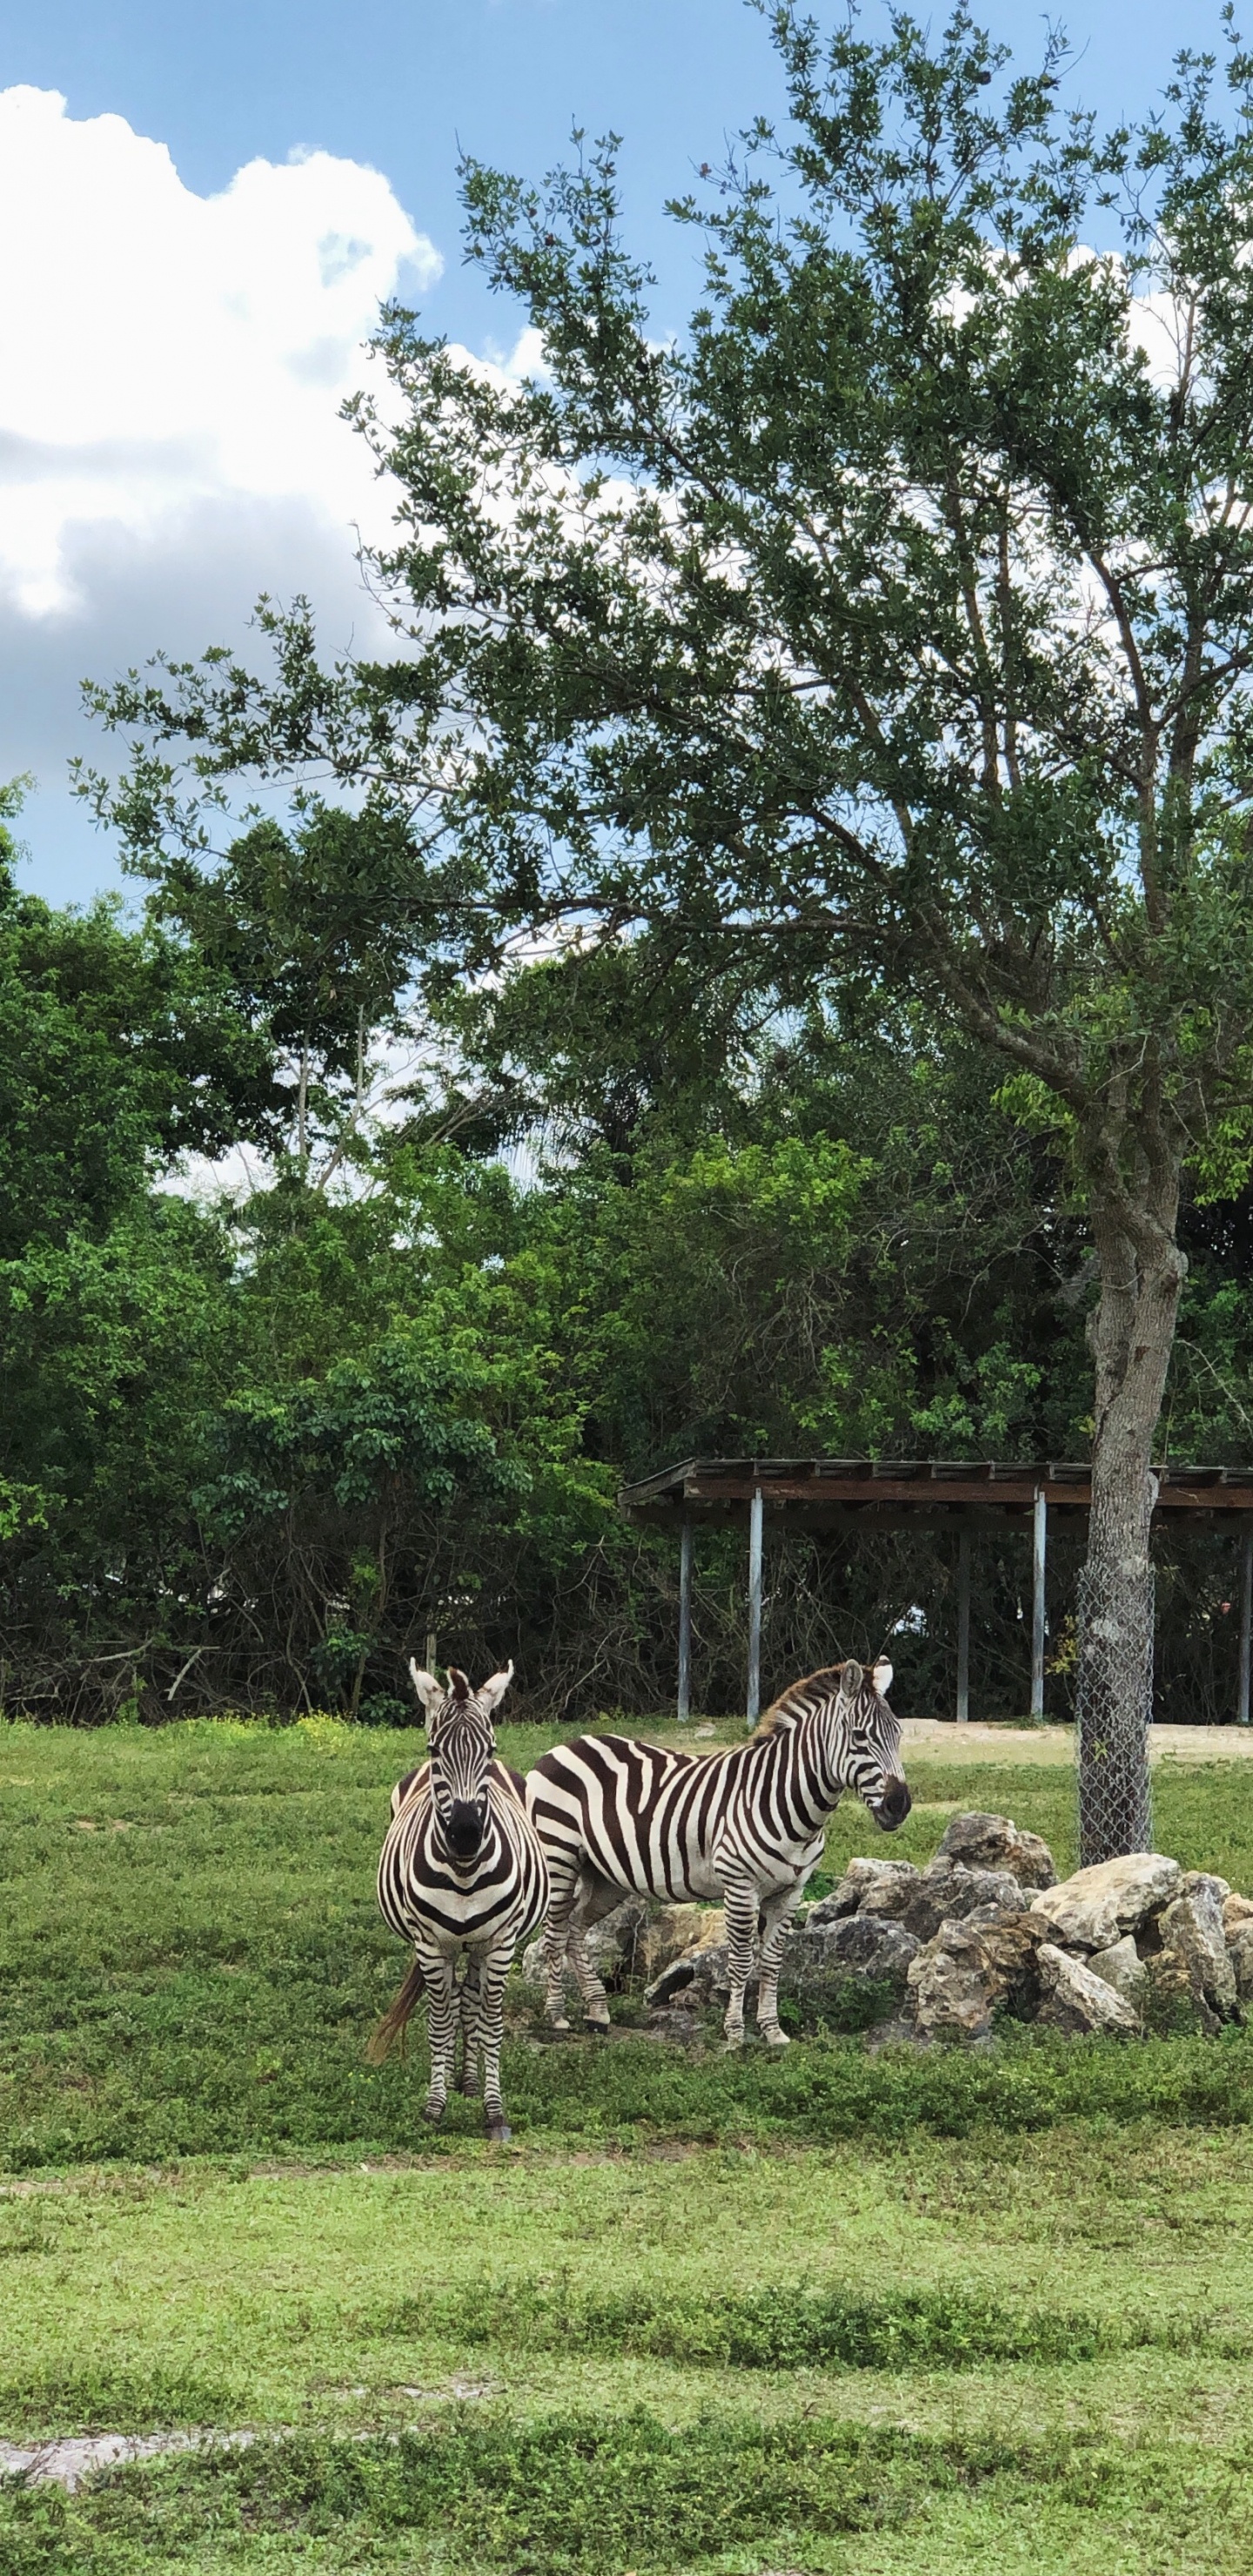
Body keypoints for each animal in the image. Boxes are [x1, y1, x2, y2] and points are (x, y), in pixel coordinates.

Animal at [368, 1660, 549, 2142]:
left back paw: (467, 2080)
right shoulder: (431, 1946)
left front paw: (493, 2110)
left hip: (482, 1946)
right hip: (446, 1947)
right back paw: (453, 2078)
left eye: (489, 1749)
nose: (466, 1835)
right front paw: (434, 2107)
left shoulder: (502, 1945)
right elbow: (438, 2021)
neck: (465, 1872)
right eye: (434, 1750)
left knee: (468, 2000)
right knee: (452, 2002)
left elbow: (491, 2022)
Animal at [526, 1659, 910, 2050]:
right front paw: (736, 2035)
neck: (787, 1801)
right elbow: (740, 1961)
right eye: (860, 1736)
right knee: (554, 1932)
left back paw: (597, 2012)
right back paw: (557, 2016)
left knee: (574, 1928)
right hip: (559, 1857)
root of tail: (565, 1746)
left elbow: (772, 1962)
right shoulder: (740, 1885)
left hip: (606, 1876)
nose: (899, 1806)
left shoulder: (790, 1892)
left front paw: (773, 2032)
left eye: (898, 1735)